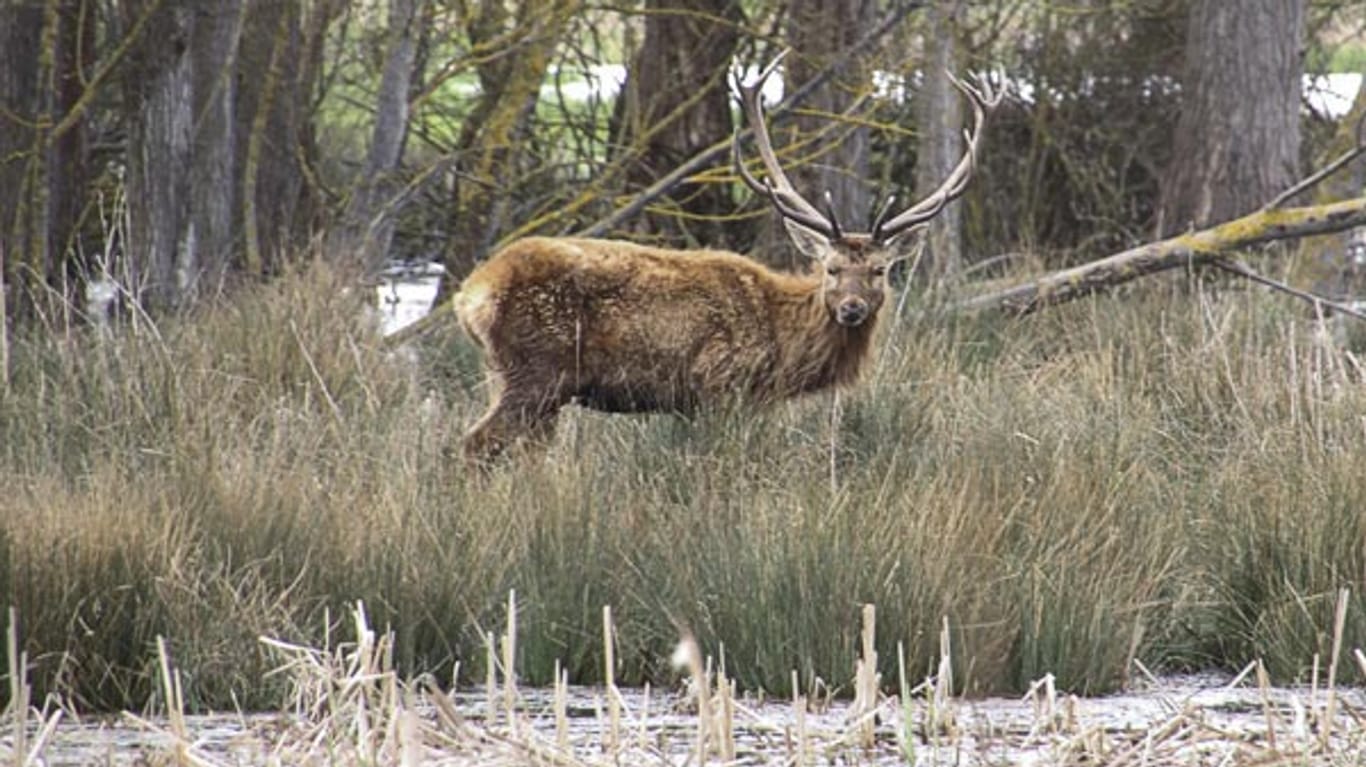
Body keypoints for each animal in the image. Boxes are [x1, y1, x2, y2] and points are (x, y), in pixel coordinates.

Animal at [453, 56, 999, 464]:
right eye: (831, 269)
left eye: (880, 271)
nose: (851, 308)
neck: (782, 343)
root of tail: (470, 294)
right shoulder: (720, 387)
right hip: (535, 371)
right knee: (471, 445)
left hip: (524, 383)